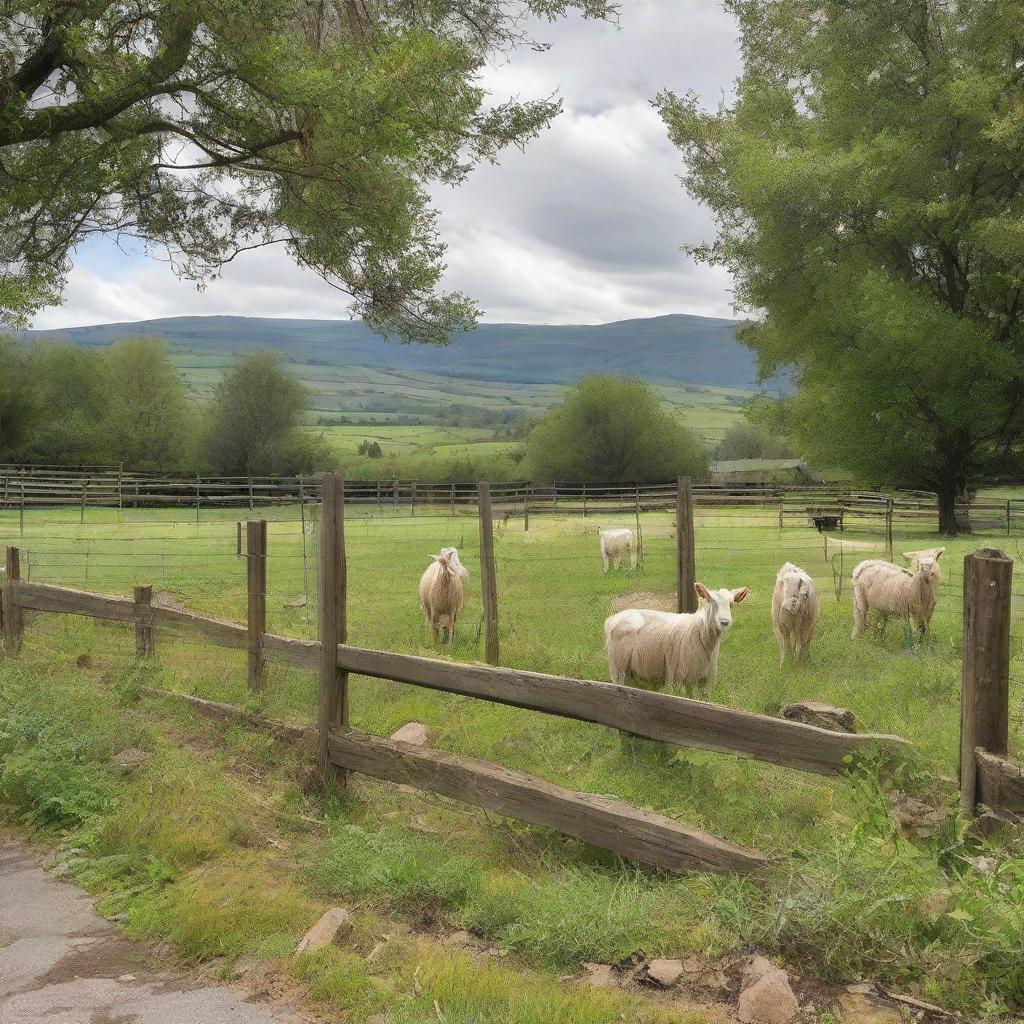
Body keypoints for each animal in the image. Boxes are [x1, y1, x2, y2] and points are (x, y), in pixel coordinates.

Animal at [602, 581, 749, 700]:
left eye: (731, 604)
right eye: (712, 602)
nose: (725, 622)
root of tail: (612, 619)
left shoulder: (705, 682)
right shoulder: (676, 677)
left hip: (631, 670)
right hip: (618, 666)